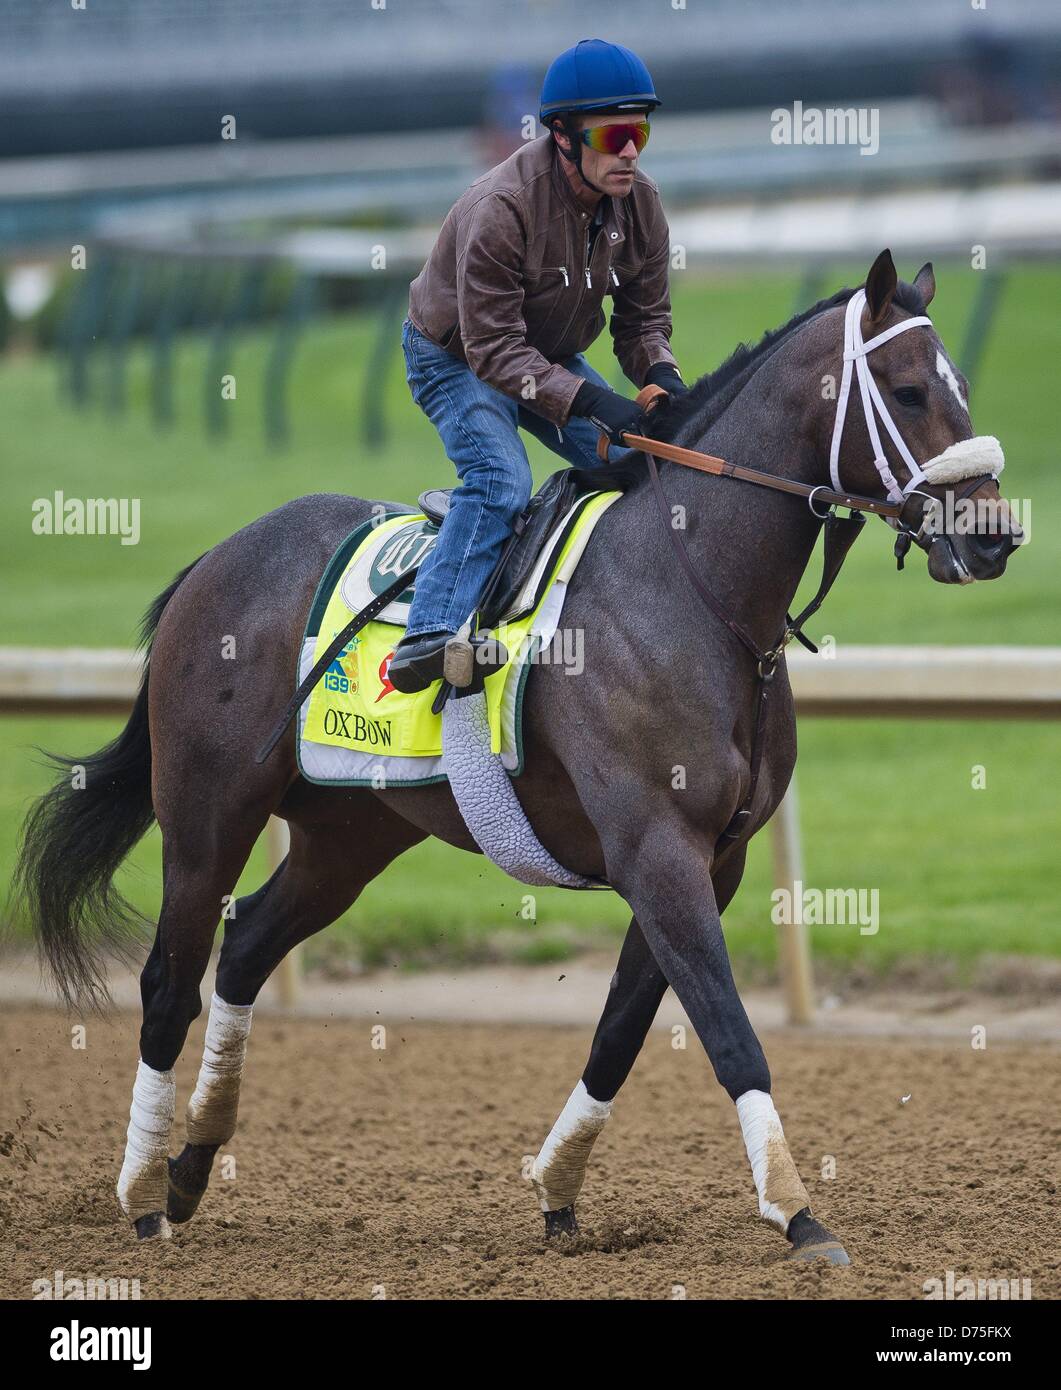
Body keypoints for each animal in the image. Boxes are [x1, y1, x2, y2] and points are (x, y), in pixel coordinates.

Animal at [16, 250, 1023, 1262]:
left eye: (962, 388)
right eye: (907, 391)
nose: (995, 536)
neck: (692, 589)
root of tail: (214, 560)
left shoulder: (714, 859)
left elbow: (620, 1034)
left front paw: (558, 1191)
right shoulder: (656, 850)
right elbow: (727, 1030)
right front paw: (796, 1211)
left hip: (352, 831)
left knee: (246, 945)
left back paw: (192, 1165)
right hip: (207, 812)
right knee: (168, 978)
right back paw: (143, 1190)